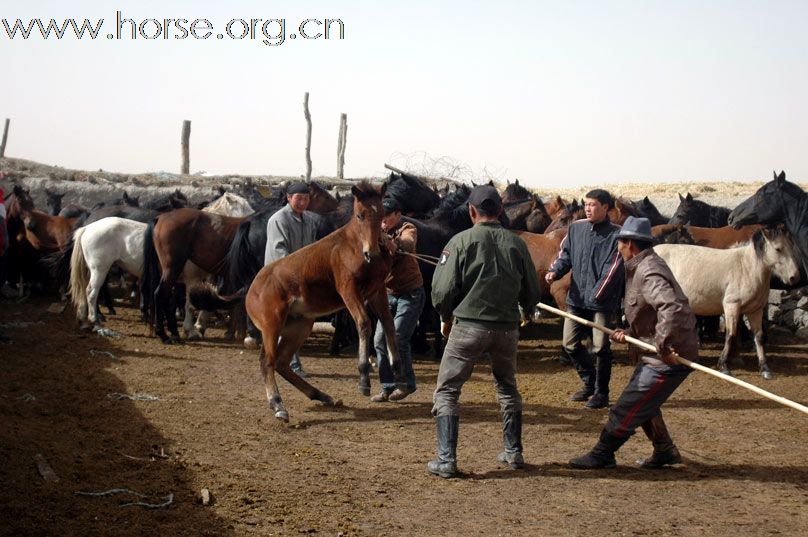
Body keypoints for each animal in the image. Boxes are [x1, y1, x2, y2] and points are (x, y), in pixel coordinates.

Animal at [656, 225, 800, 376]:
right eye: (778, 249)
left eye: (791, 247)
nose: (794, 277)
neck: (746, 268)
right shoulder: (731, 307)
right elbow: (730, 336)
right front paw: (723, 366)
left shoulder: (755, 310)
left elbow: (759, 337)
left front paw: (764, 368)